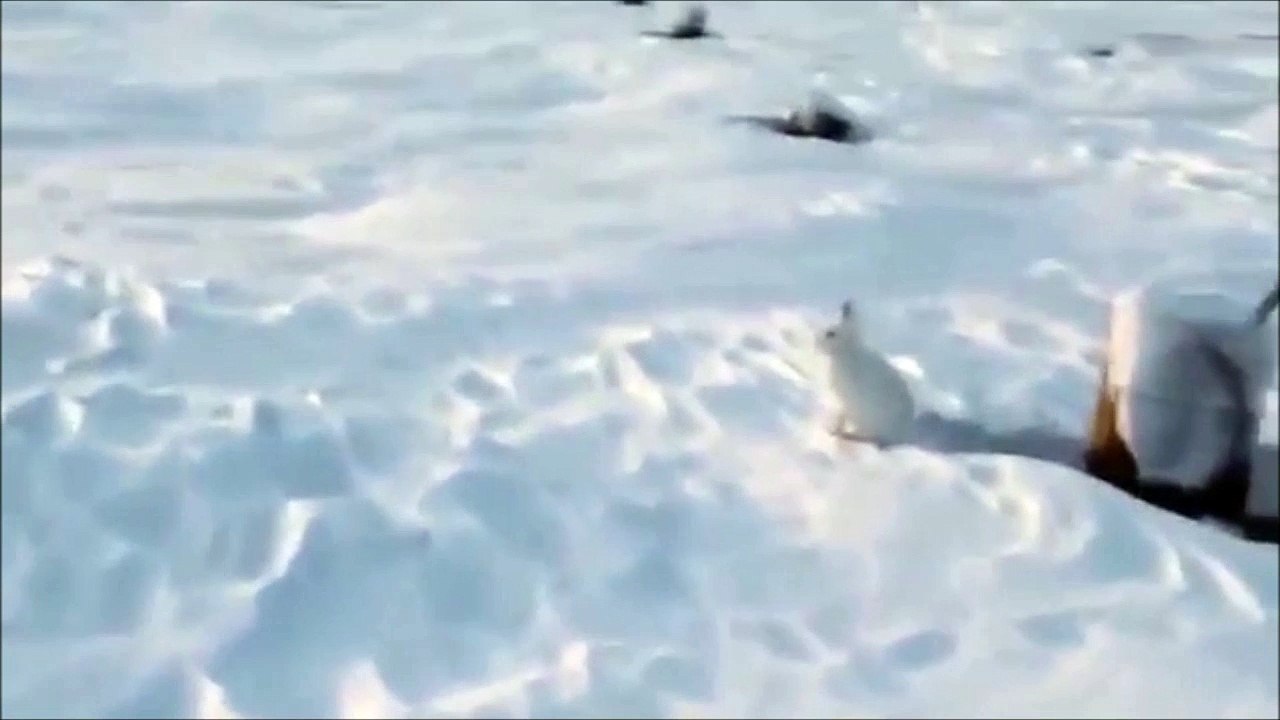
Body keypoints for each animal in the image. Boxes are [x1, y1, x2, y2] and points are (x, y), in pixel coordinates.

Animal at [817, 299, 916, 446]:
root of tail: (900, 434)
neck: (846, 351)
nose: (816, 343)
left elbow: (841, 418)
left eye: (831, 334)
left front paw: (834, 432)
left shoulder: (844, 402)